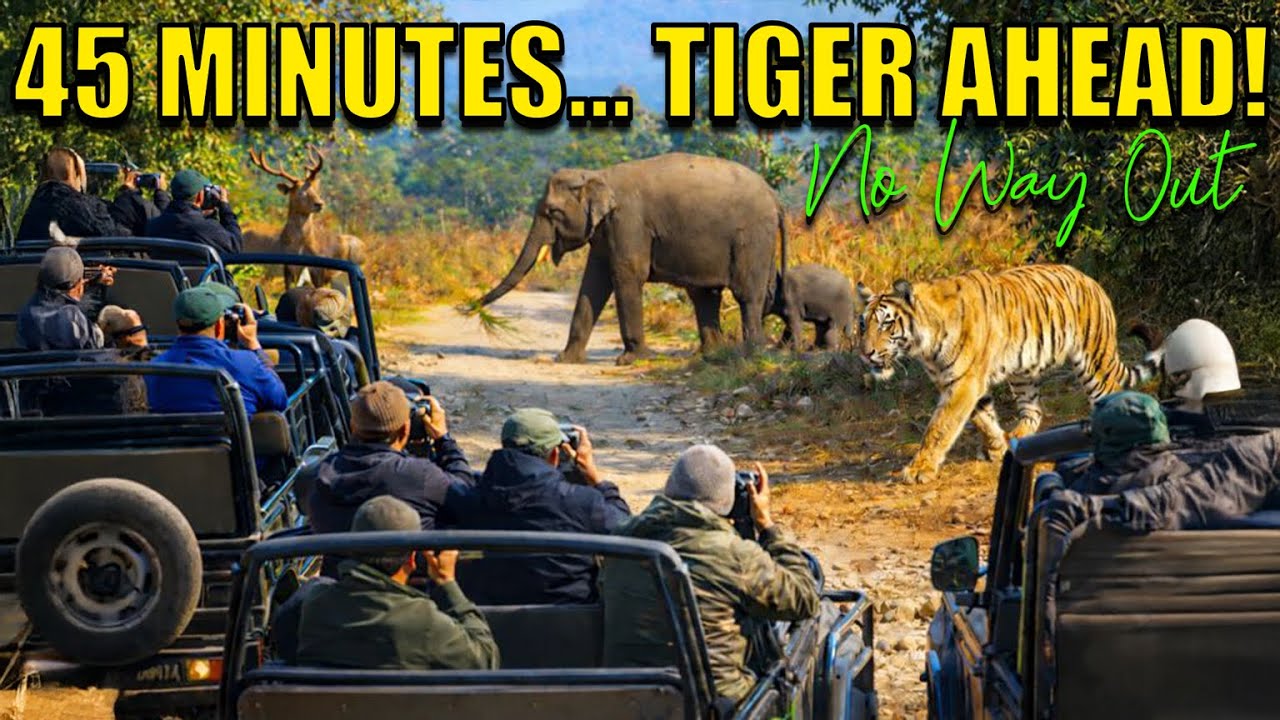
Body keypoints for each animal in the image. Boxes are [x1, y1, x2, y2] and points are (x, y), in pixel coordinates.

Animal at [856, 263, 1161, 483]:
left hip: (1094, 364)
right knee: (1034, 411)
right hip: (1023, 374)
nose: (866, 353)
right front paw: (996, 447)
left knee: (1113, 394)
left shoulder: (964, 383)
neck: (925, 346)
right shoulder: (959, 382)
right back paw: (1018, 437)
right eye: (863, 325)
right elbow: (983, 418)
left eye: (886, 324)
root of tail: (1092, 281)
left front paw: (920, 469)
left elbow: (939, 428)